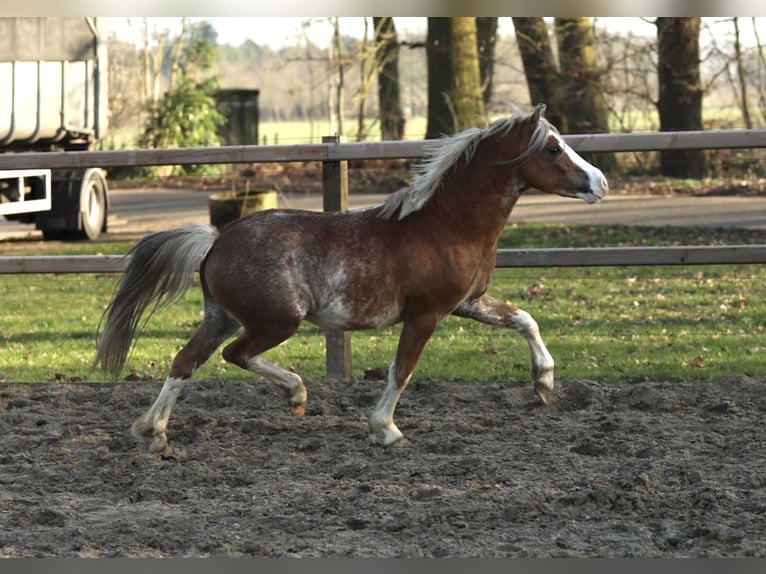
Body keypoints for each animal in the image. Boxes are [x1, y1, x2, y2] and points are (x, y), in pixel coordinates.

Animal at [96, 106, 608, 452]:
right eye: (552, 148)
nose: (600, 183)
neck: (447, 225)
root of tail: (218, 238)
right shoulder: (426, 315)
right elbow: (401, 370)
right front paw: (386, 430)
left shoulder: (469, 303)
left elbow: (525, 319)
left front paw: (544, 384)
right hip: (274, 321)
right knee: (234, 355)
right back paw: (295, 393)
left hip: (220, 316)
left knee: (186, 361)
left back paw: (154, 433)